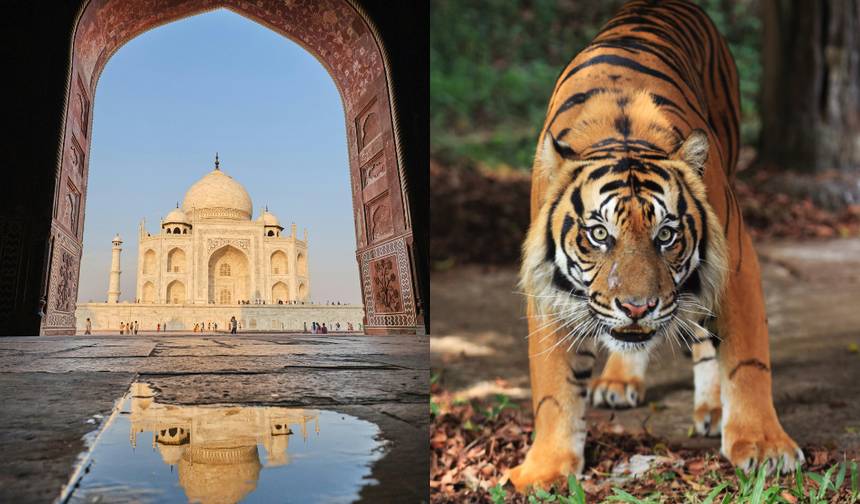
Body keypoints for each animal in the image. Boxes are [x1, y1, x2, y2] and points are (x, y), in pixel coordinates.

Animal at [508, 0, 804, 491]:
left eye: (666, 235)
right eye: (599, 235)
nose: (637, 307)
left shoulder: (736, 264)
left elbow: (747, 361)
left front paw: (764, 447)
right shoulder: (547, 288)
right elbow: (552, 386)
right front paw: (546, 468)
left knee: (705, 335)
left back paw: (712, 407)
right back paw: (619, 380)